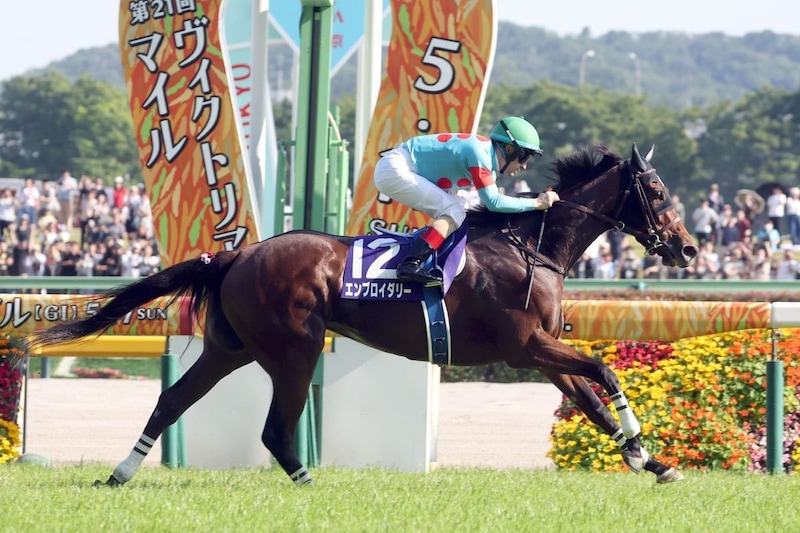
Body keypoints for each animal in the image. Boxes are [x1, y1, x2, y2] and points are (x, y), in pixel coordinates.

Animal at [28, 143, 697, 486]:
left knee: (172, 402)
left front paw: (652, 461)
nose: (688, 249)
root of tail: (238, 253)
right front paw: (644, 451)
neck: (529, 247)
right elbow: (605, 374)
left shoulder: (540, 355)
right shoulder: (524, 347)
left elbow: (591, 402)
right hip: (294, 348)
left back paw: (119, 474)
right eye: (657, 192)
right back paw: (307, 483)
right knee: (273, 428)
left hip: (230, 348)